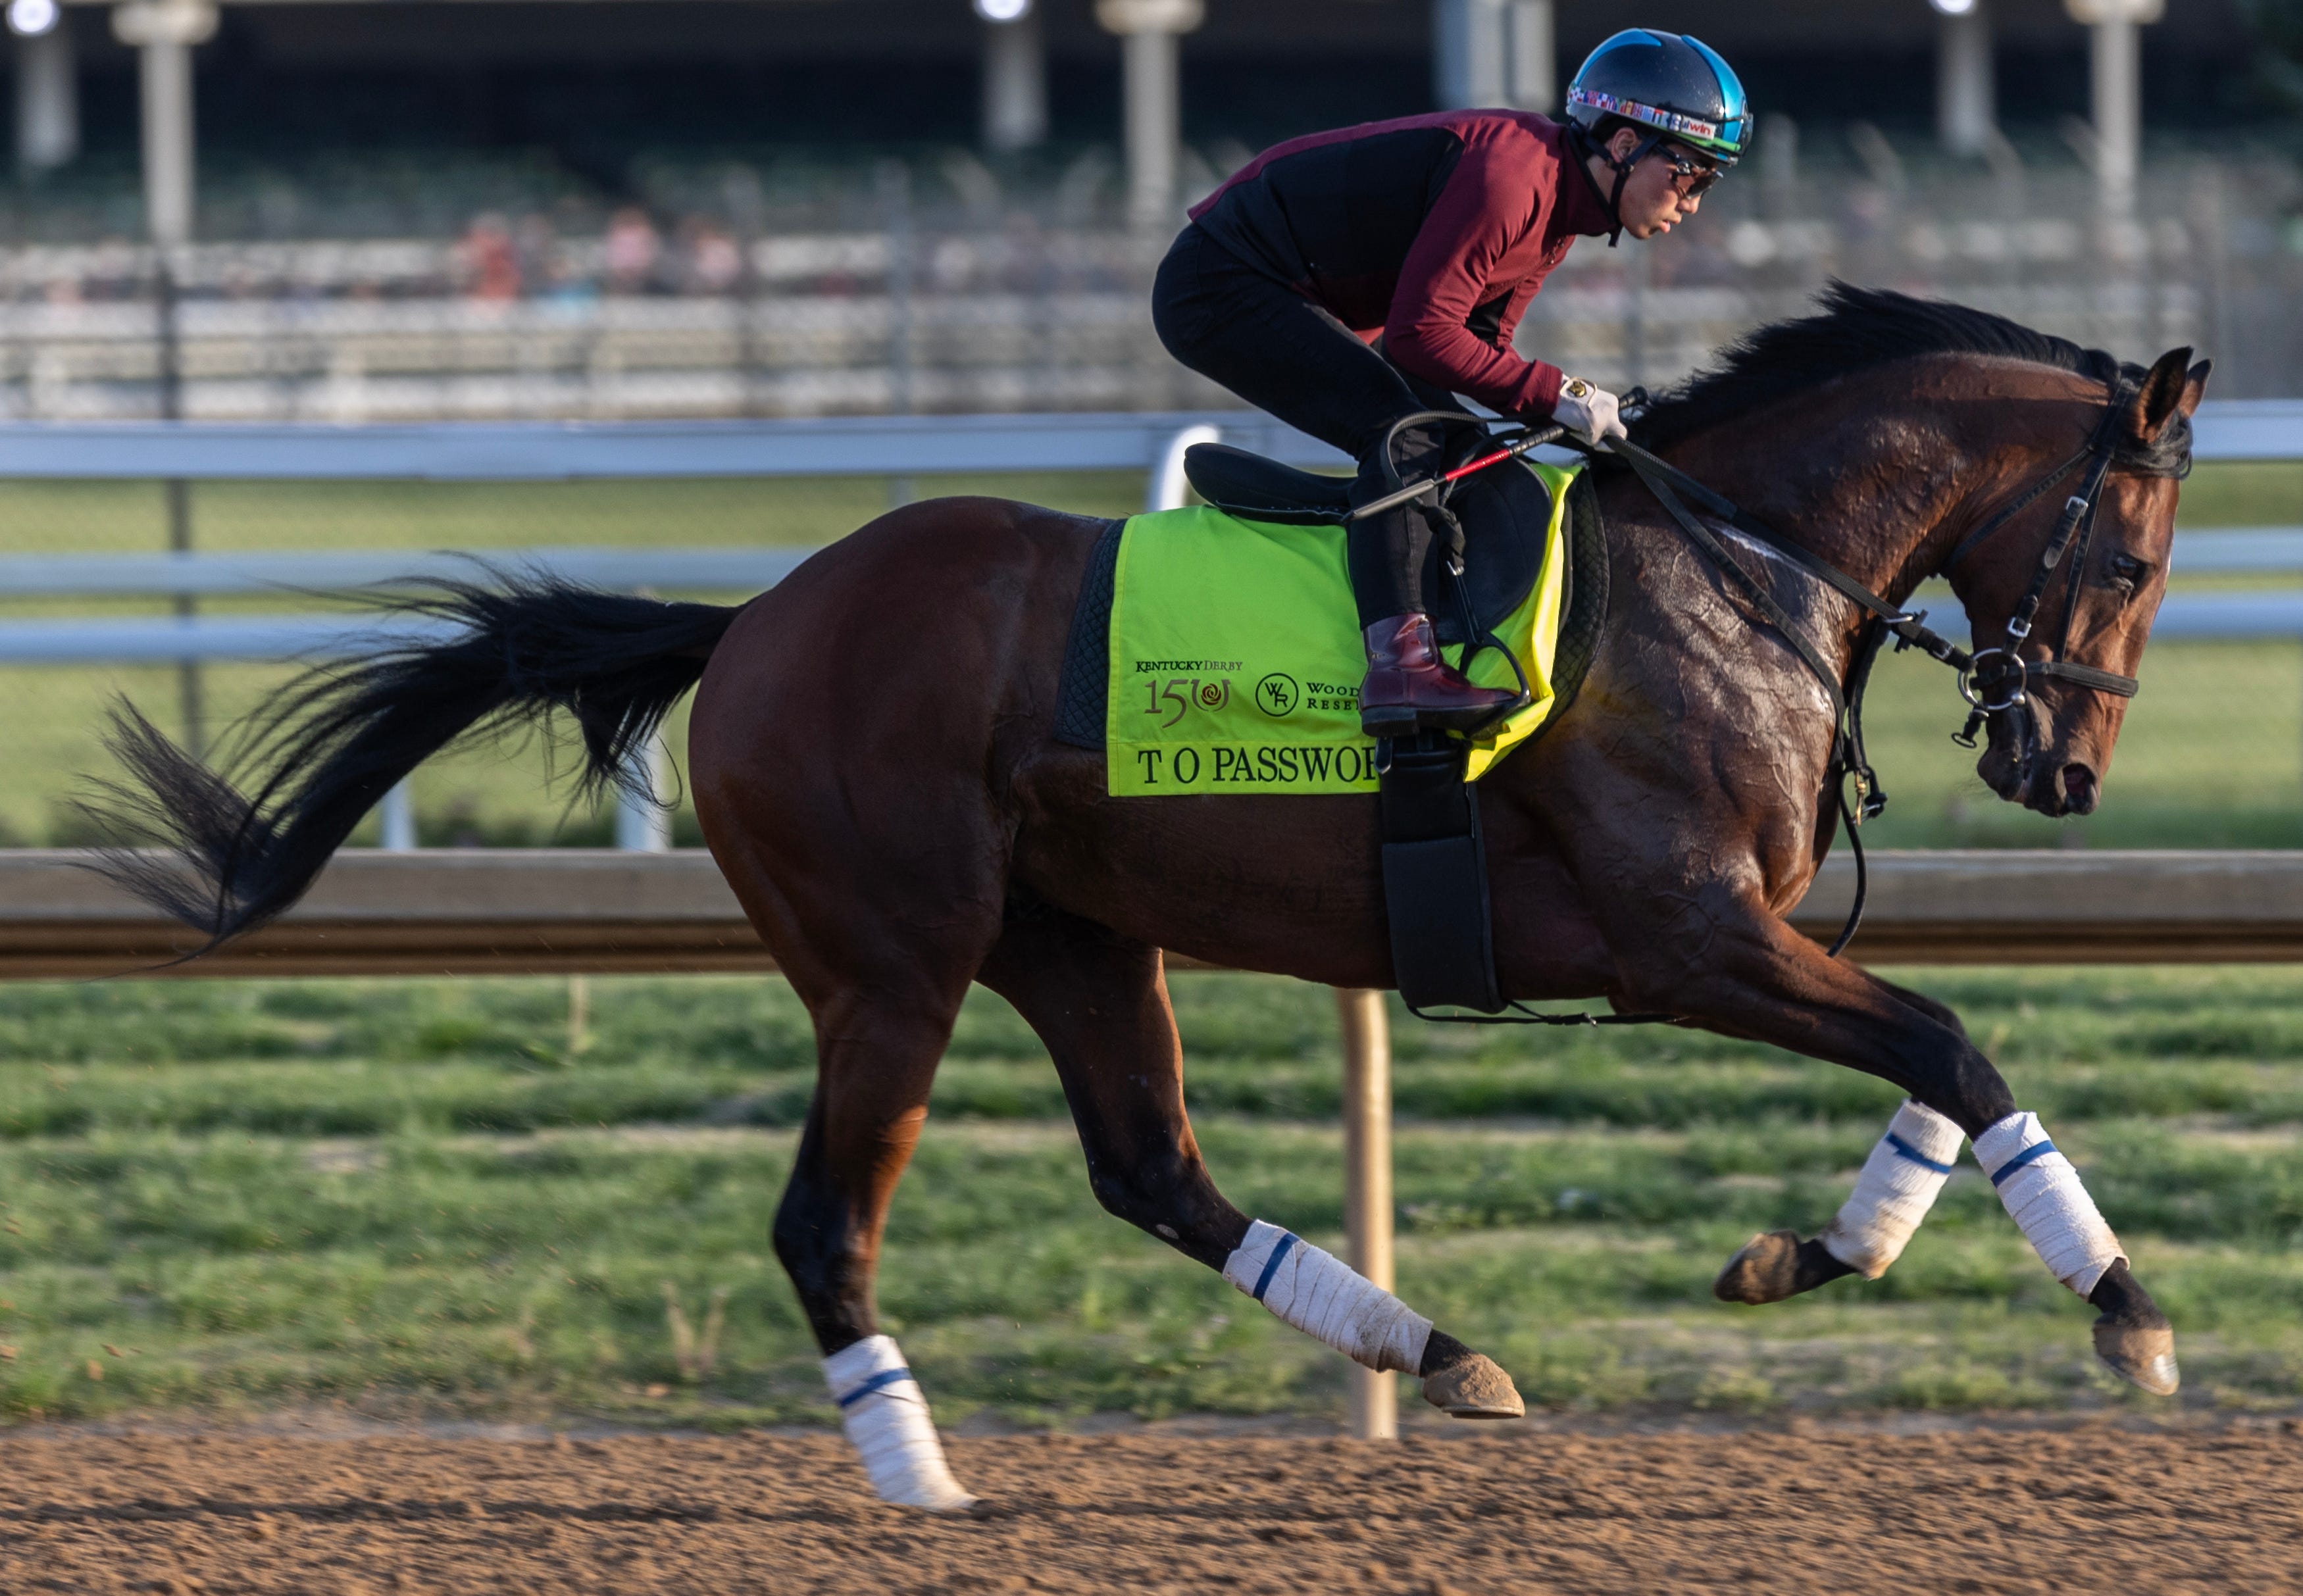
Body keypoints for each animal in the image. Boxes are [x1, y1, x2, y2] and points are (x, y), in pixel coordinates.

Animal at [85, 286, 2208, 1512]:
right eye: (2128, 554)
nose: (2063, 771)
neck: (1728, 570)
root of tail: (754, 618)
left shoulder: (1723, 943)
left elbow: (1932, 1060)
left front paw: (1806, 1252)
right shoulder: (1677, 938)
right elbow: (1955, 1040)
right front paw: (2123, 1311)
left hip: (1077, 937)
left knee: (1152, 1169)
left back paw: (1435, 1351)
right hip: (894, 961)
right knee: (825, 1218)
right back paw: (918, 1471)